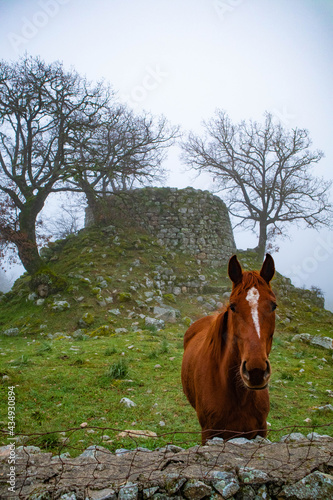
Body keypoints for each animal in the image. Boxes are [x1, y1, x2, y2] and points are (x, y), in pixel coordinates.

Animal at [180, 256, 276, 444]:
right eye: (233, 306)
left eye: (274, 305)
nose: (255, 371)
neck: (239, 396)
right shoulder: (209, 434)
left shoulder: (261, 430)